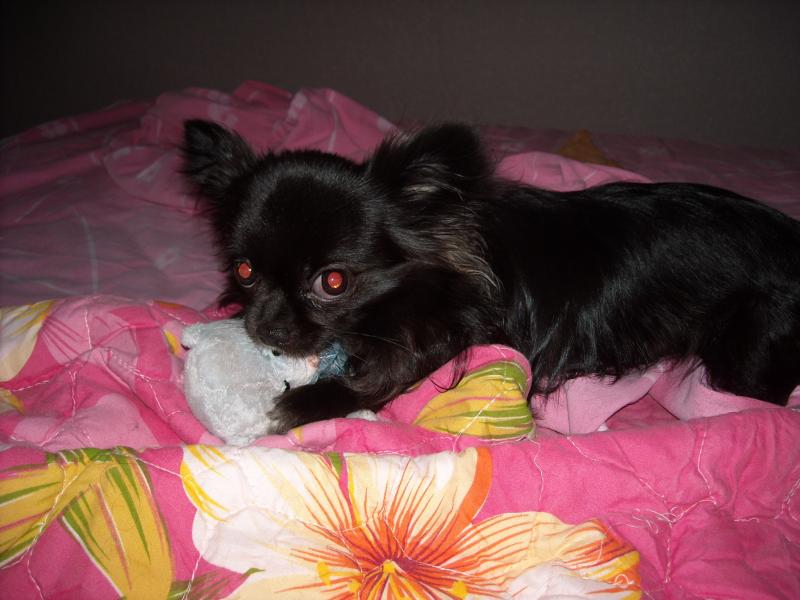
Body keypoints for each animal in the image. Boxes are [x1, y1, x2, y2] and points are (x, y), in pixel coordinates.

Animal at [182, 120, 800, 433]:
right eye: (244, 271)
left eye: (333, 283)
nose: (266, 329)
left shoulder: (455, 330)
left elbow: (387, 372)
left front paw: (307, 404)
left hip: (743, 359)